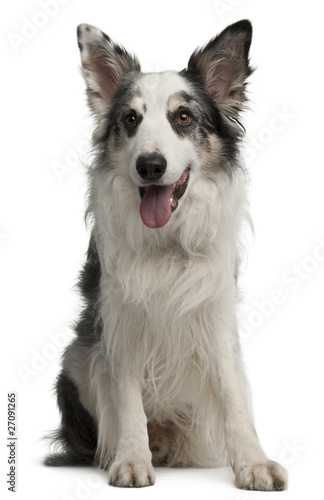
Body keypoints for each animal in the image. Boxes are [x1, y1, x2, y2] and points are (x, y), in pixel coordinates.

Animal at [44, 20, 288, 492]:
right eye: (130, 119)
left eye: (184, 117)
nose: (150, 165)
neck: (168, 244)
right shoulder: (121, 319)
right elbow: (127, 399)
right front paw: (132, 459)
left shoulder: (215, 316)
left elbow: (232, 394)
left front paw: (253, 463)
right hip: (76, 358)